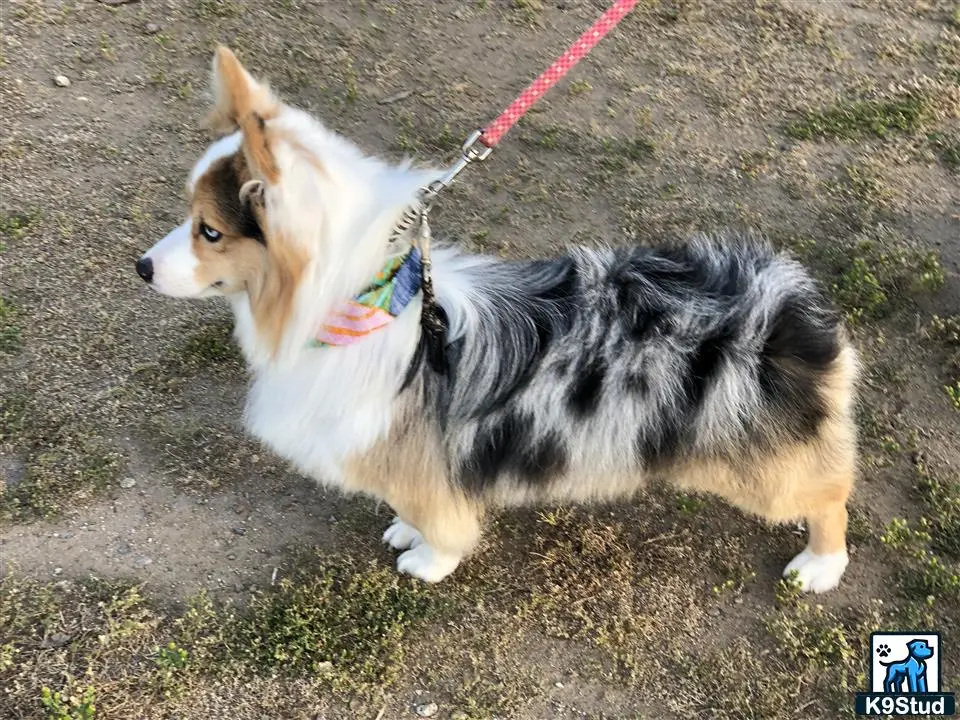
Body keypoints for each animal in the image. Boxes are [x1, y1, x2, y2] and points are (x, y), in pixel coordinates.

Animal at [133, 47, 856, 592]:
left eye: (209, 231)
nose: (141, 267)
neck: (375, 300)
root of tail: (793, 306)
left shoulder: (427, 470)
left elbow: (442, 525)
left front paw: (427, 560)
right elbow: (409, 504)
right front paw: (404, 528)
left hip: (760, 467)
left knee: (829, 492)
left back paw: (820, 565)